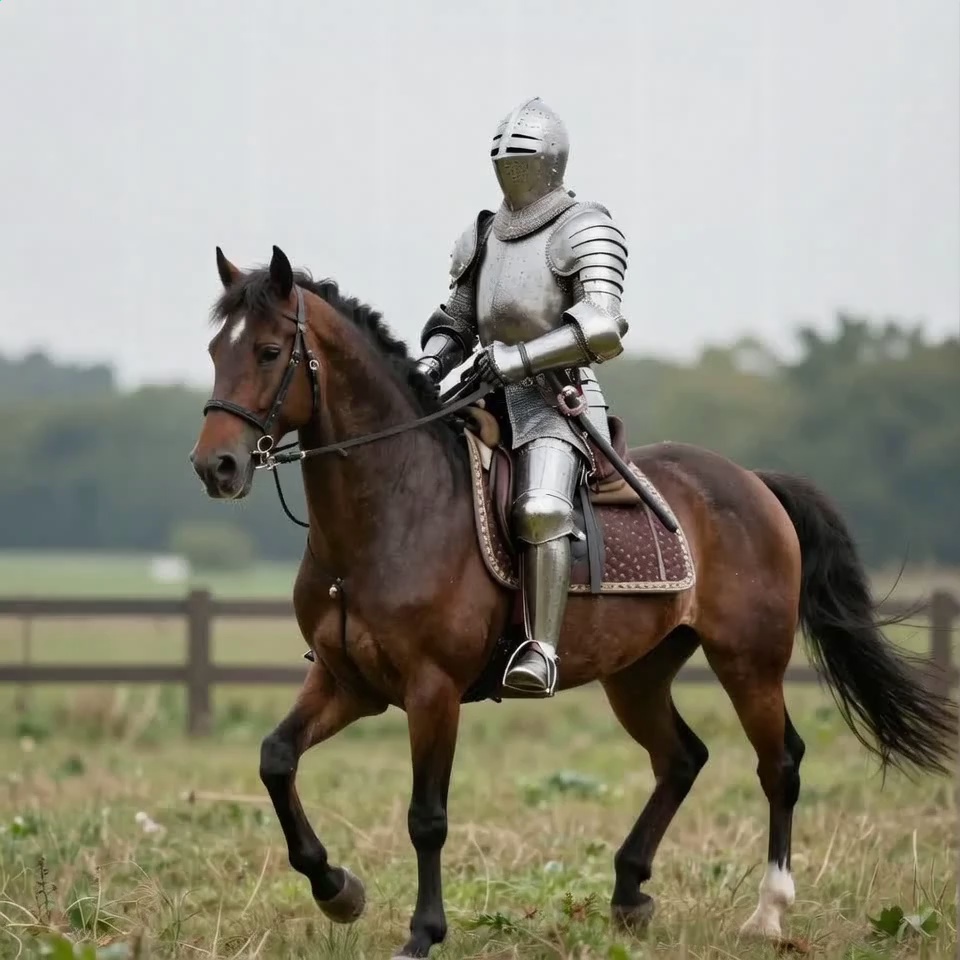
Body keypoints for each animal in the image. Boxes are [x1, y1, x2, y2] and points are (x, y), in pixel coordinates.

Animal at [189, 245, 956, 959]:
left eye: (267, 351)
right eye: (215, 351)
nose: (214, 466)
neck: (395, 508)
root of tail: (753, 482)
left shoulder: (431, 692)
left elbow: (426, 816)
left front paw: (422, 932)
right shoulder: (348, 682)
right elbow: (275, 759)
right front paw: (337, 890)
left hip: (750, 664)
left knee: (781, 765)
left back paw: (768, 912)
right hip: (637, 675)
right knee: (682, 758)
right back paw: (629, 892)